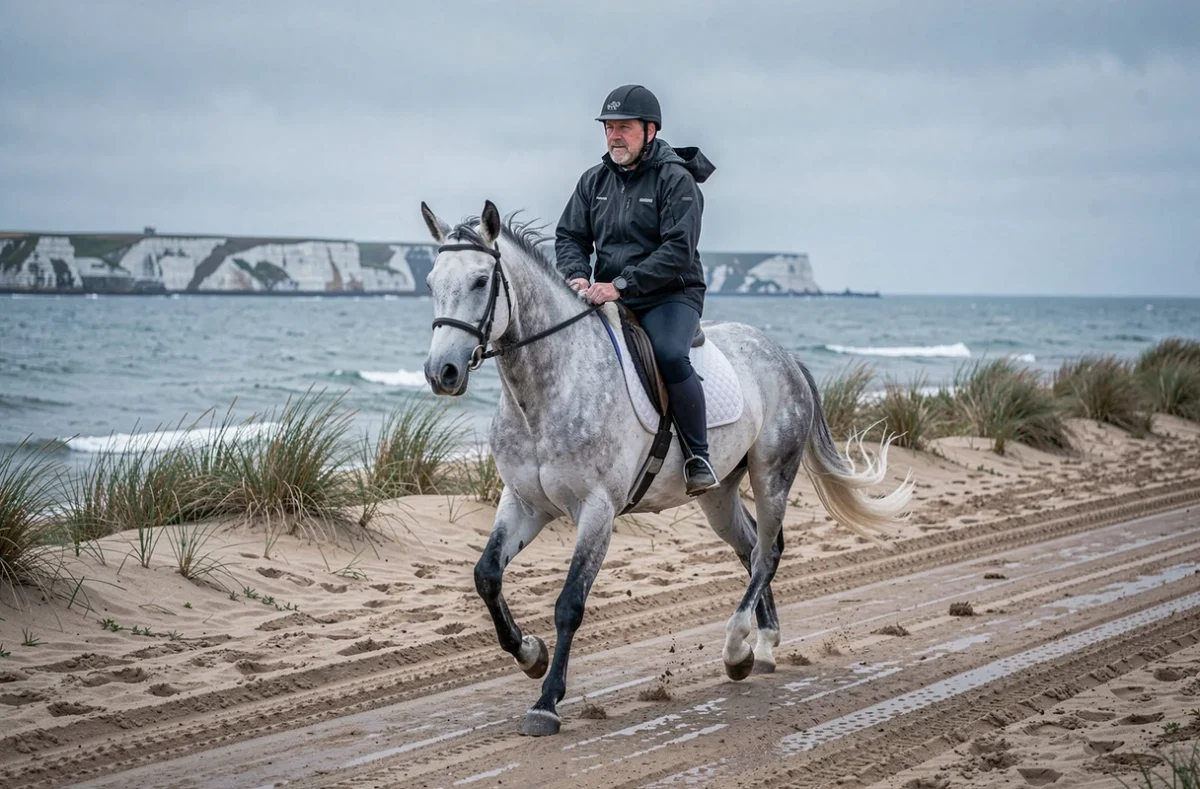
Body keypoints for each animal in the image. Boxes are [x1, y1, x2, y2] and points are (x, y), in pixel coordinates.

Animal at [420, 200, 912, 736]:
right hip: (718, 494)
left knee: (766, 554)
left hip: (772, 474)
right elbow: (486, 576)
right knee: (752, 547)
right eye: (430, 282)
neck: (548, 390)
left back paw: (737, 648)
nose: (441, 373)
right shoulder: (525, 503)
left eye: (480, 281)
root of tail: (783, 355)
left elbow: (569, 603)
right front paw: (530, 654)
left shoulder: (597, 510)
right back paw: (762, 648)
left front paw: (546, 702)